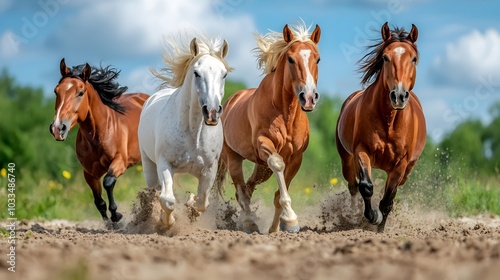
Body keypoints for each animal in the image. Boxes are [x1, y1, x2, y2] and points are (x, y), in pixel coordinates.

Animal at [49, 59, 149, 223]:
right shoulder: (89, 173)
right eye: (56, 91)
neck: (97, 136)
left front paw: (116, 216)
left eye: (80, 93)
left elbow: (108, 182)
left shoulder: (120, 162)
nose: (57, 128)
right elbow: (98, 200)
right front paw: (108, 221)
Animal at [139, 35, 232, 228]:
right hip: (149, 166)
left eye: (224, 74)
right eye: (197, 73)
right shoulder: (165, 164)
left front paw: (190, 204)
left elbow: (203, 202)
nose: (212, 112)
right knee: (155, 193)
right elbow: (168, 200)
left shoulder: (209, 170)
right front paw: (167, 222)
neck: (194, 134)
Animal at [215, 21, 320, 233]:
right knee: (241, 190)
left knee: (248, 187)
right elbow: (278, 165)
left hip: (262, 167)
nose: (309, 97)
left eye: (318, 59)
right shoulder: (265, 145)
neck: (284, 114)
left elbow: (279, 195)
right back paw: (249, 222)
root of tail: (231, 101)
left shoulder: (296, 157)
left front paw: (280, 227)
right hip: (233, 158)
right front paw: (290, 219)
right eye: (290, 59)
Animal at [336, 22, 426, 232]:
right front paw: (372, 217)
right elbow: (366, 186)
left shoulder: (401, 164)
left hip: (406, 169)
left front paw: (380, 229)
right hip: (346, 158)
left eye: (414, 59)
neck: (389, 121)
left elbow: (388, 200)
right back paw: (353, 213)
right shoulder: (362, 151)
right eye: (385, 57)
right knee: (353, 185)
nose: (398, 95)